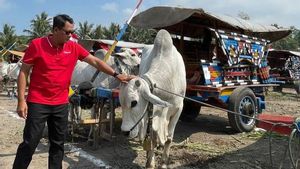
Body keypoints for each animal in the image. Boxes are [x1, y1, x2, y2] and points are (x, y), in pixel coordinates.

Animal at [119, 29, 185, 168]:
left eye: (134, 103)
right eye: (121, 104)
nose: (124, 132)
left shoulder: (178, 109)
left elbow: (169, 138)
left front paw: (164, 162)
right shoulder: (153, 112)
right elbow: (152, 139)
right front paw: (150, 162)